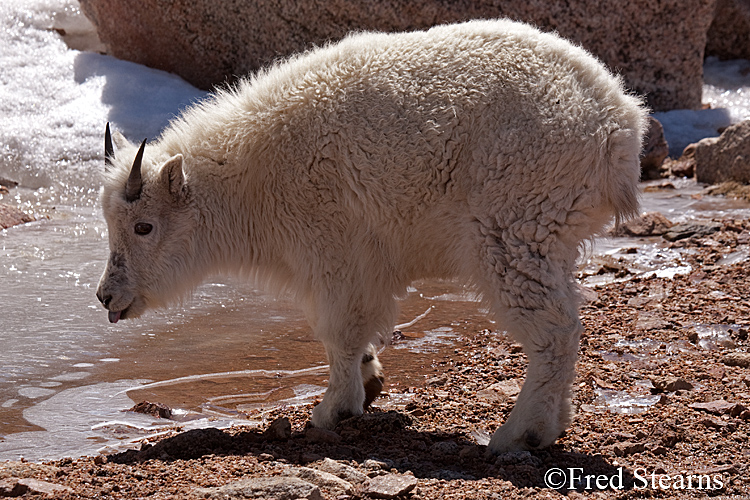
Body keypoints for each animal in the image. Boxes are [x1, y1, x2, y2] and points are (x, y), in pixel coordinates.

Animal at [97, 19, 648, 454]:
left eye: (144, 226)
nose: (107, 296)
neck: (248, 176)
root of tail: (618, 125)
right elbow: (355, 332)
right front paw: (371, 380)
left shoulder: (335, 251)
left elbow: (338, 330)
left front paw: (333, 409)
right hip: (550, 237)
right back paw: (552, 424)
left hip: (518, 228)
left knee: (555, 331)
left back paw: (521, 433)